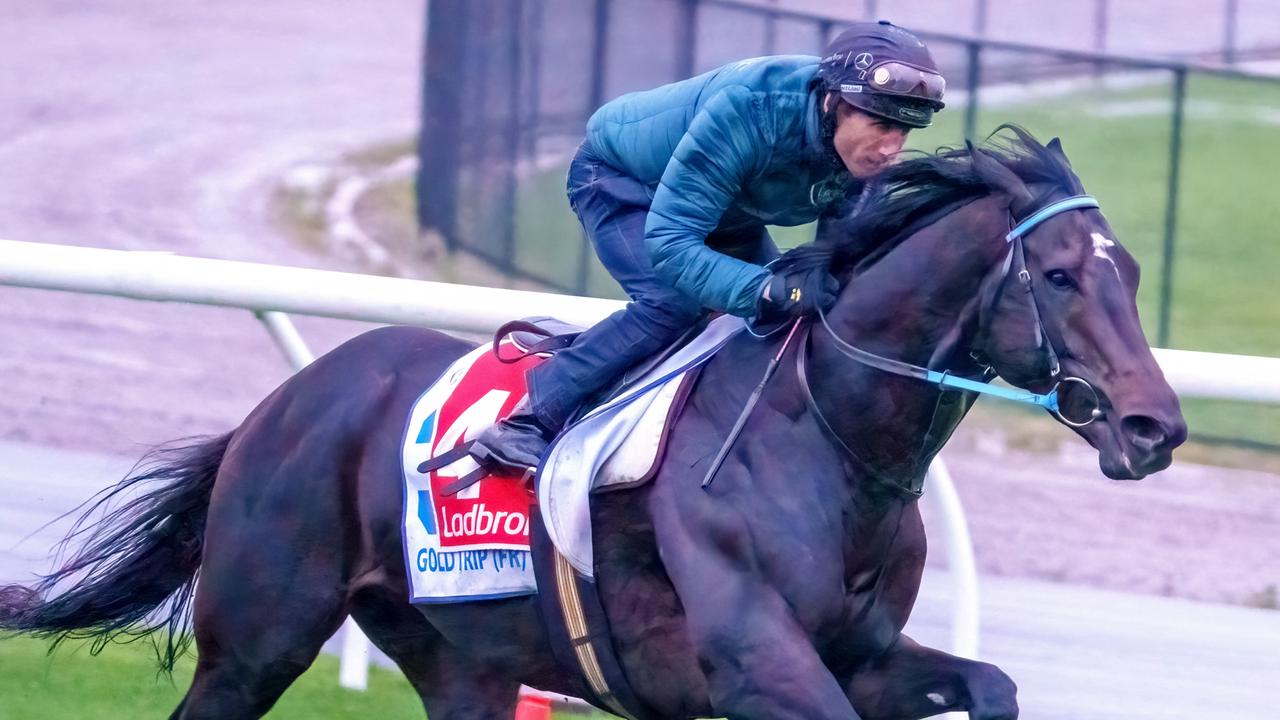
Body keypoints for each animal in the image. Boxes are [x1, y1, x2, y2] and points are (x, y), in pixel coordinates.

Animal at [0, 128, 1182, 717]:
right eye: (1061, 275)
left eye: (1128, 274)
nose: (1154, 428)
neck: (828, 439)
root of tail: (283, 403)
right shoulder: (754, 662)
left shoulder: (862, 658)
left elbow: (990, 686)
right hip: (255, 638)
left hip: (460, 663)